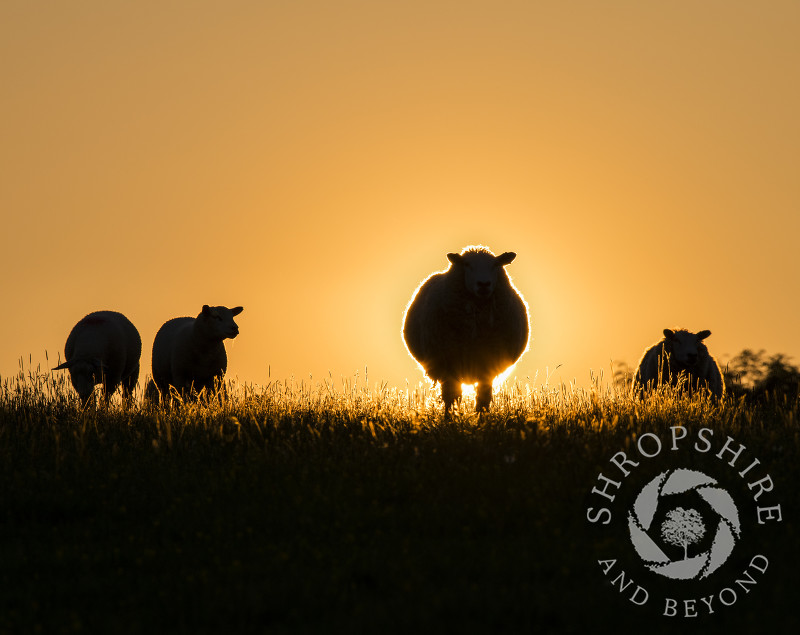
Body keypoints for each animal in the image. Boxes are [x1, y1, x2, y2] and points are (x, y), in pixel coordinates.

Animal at [400, 246, 532, 414]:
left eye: (496, 264)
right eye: (467, 264)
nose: (484, 284)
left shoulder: (487, 364)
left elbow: (483, 399)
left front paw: (482, 418)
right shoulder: (449, 364)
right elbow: (451, 397)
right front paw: (449, 417)